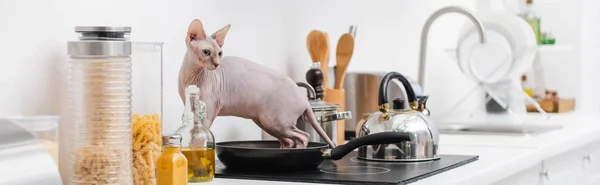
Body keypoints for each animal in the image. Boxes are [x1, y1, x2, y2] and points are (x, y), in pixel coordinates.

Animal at [178, 19, 338, 149]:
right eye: (206, 52)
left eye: (220, 53)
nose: (217, 64)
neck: (192, 76)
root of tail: (304, 98)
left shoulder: (208, 112)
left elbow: (200, 136)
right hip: (266, 122)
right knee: (288, 141)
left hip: (277, 122)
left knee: (303, 137)